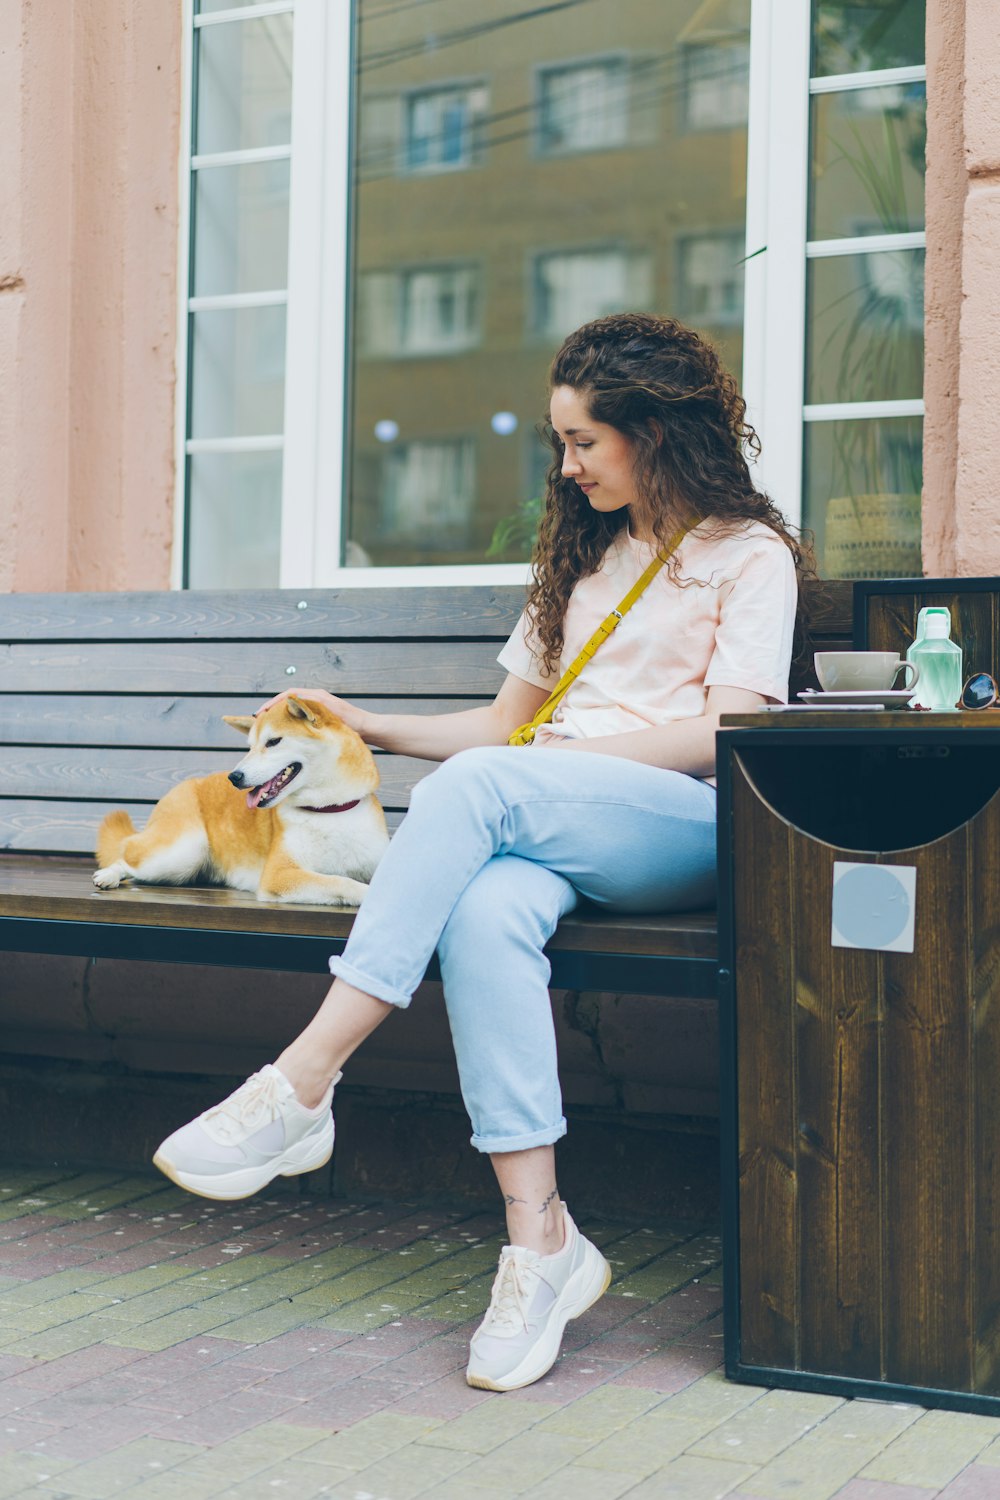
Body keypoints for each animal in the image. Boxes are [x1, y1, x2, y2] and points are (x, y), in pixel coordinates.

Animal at [93, 693, 389, 900]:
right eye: (250, 747)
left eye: (273, 742)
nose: (234, 777)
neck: (329, 809)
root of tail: (182, 787)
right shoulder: (280, 874)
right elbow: (340, 881)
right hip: (183, 854)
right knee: (127, 859)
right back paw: (109, 874)